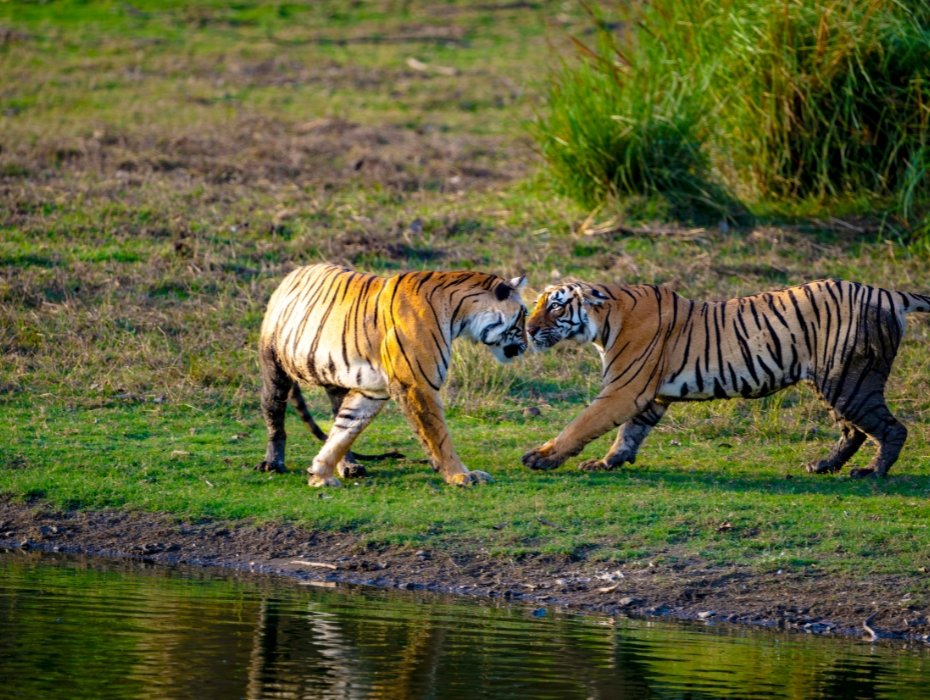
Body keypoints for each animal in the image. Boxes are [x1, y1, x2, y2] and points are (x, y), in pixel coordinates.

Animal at [257, 262, 528, 487]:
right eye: (524, 313)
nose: (527, 345)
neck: (460, 314)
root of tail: (291, 274)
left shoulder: (372, 390)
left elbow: (344, 430)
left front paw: (319, 474)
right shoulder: (418, 385)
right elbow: (439, 436)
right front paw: (461, 475)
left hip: (335, 380)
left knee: (336, 416)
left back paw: (349, 466)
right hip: (274, 367)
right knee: (274, 415)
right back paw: (273, 463)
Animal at [521, 278, 930, 478]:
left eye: (555, 306)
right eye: (537, 304)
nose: (528, 329)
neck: (604, 323)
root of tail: (888, 293)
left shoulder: (625, 389)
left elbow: (581, 425)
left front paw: (541, 457)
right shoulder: (650, 396)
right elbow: (629, 433)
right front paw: (608, 462)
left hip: (849, 381)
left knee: (891, 428)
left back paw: (872, 472)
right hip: (832, 382)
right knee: (853, 430)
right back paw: (823, 466)